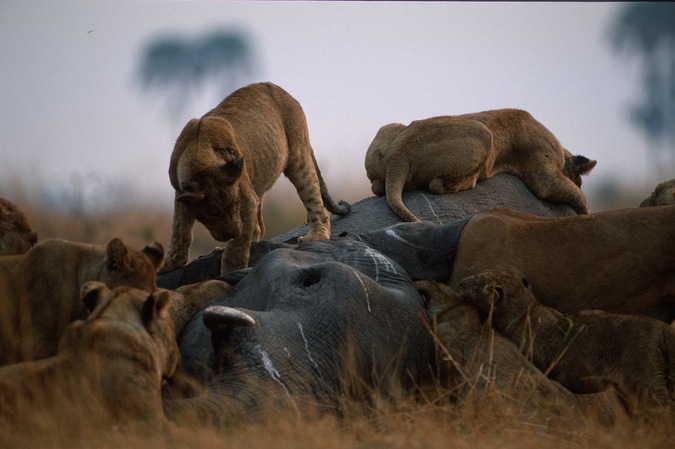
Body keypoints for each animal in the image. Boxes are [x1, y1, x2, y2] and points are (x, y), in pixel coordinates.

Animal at [364, 108, 596, 220]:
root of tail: (399, 152)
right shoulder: (543, 175)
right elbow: (577, 194)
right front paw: (585, 214)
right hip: (484, 133)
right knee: (436, 185)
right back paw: (471, 181)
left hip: (389, 128)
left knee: (377, 187)